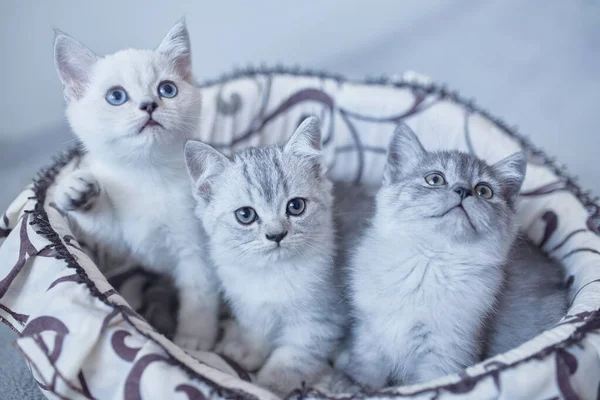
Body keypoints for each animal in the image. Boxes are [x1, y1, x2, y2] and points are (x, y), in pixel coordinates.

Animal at [52, 21, 219, 350]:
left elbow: (199, 295)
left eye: (167, 89)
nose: (149, 105)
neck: (147, 175)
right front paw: (76, 192)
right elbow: (105, 228)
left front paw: (193, 340)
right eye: (116, 96)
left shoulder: (195, 249)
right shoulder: (119, 241)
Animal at [183, 117, 344, 396]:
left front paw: (269, 385)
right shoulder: (250, 306)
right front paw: (250, 350)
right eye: (245, 215)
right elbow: (256, 331)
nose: (276, 234)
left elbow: (292, 358)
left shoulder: (319, 321)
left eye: (296, 206)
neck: (272, 274)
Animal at [342, 124, 524, 388]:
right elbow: (366, 376)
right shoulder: (370, 336)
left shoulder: (448, 353)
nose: (463, 190)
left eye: (484, 191)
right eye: (435, 179)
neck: (430, 264)